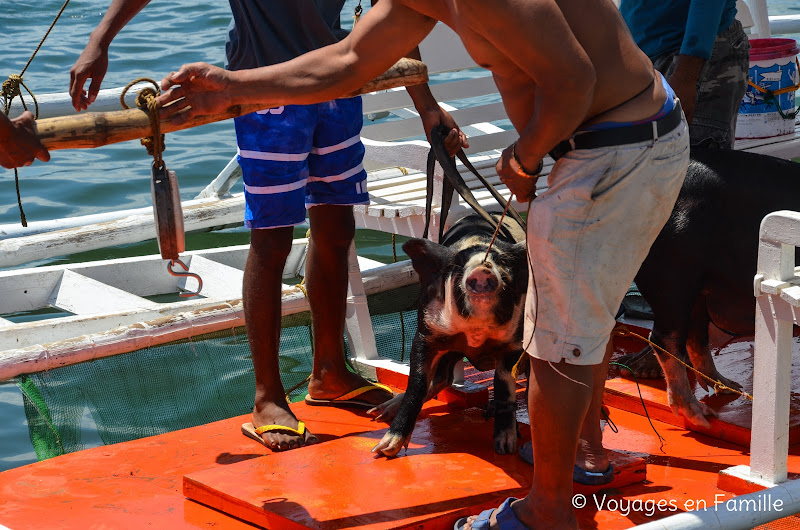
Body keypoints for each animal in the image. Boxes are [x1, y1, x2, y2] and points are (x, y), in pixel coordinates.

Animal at [370, 210, 532, 454]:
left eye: (503, 262)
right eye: (458, 265)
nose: (482, 269)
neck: (475, 334)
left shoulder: (514, 344)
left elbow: (503, 384)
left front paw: (505, 447)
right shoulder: (426, 335)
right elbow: (416, 384)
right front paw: (383, 450)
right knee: (441, 379)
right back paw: (378, 412)